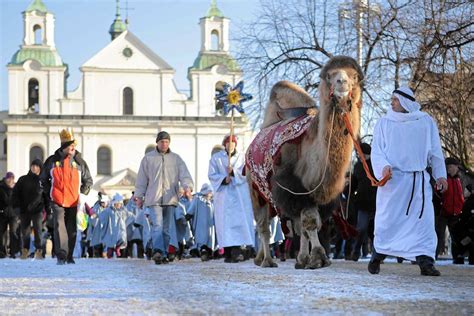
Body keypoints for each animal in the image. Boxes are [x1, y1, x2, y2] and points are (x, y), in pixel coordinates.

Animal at [244, 55, 362, 268]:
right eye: (330, 75)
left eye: (354, 76)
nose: (342, 82)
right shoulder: (295, 188)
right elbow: (309, 222)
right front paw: (318, 257)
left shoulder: (321, 197)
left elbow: (307, 226)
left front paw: (305, 259)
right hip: (255, 188)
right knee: (263, 225)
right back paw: (267, 260)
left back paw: (266, 258)